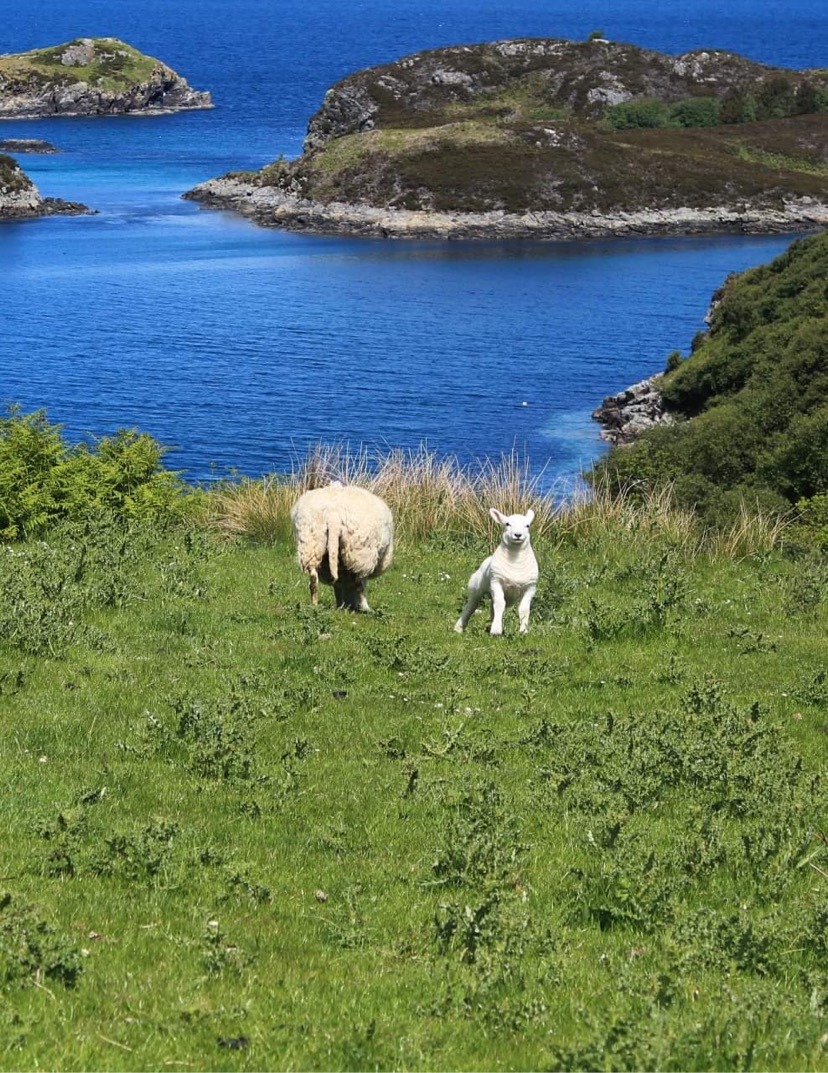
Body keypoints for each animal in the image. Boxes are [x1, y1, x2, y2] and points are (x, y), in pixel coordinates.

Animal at [290, 482, 394, 611]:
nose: (349, 606)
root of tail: (333, 513)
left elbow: (337, 587)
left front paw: (340, 604)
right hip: (360, 551)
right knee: (360, 582)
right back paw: (365, 608)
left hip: (311, 541)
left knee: (313, 578)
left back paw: (315, 604)